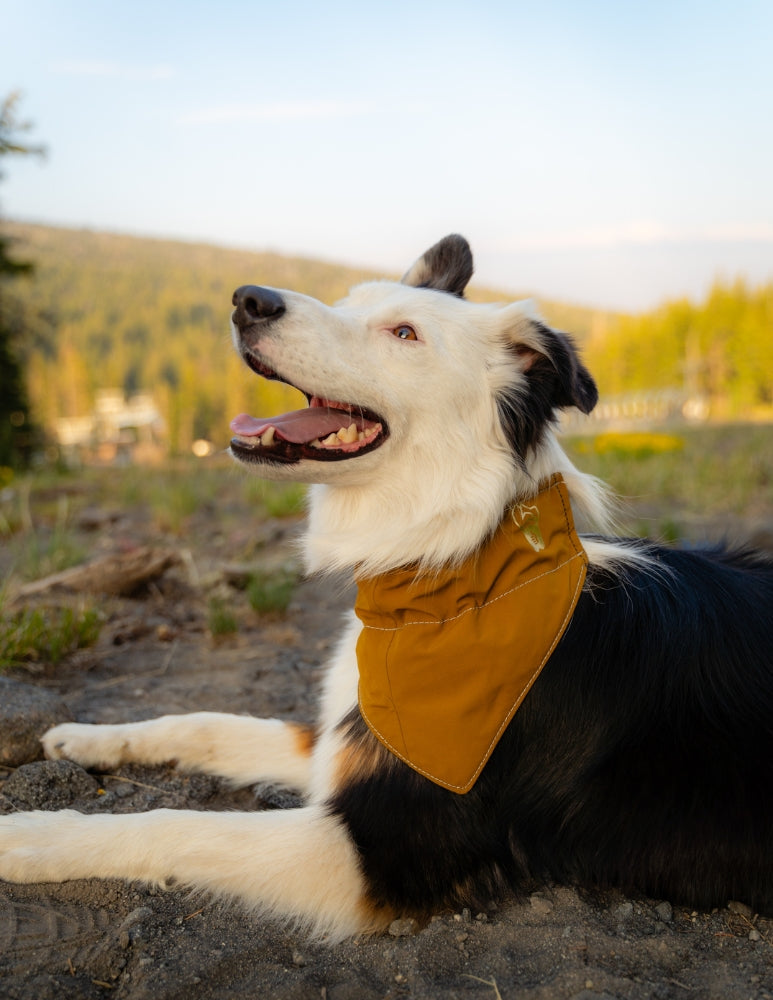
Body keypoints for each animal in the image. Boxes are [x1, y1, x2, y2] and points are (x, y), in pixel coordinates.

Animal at [1, 232, 772, 936]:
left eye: (404, 334)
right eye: (348, 301)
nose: (248, 300)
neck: (451, 575)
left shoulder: (387, 847)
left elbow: (179, 825)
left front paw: (34, 834)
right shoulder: (342, 738)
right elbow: (205, 721)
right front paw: (89, 738)